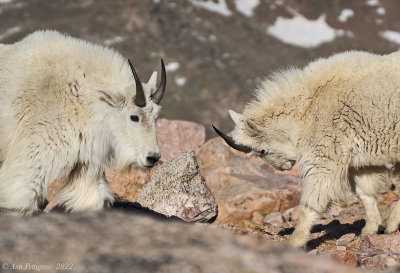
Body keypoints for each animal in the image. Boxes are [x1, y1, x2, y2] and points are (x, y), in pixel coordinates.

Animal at [216, 50, 400, 246]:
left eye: (262, 151)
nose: (283, 168)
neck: (306, 109)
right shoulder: (360, 157)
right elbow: (366, 193)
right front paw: (371, 228)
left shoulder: (324, 151)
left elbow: (312, 199)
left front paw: (295, 241)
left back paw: (392, 223)